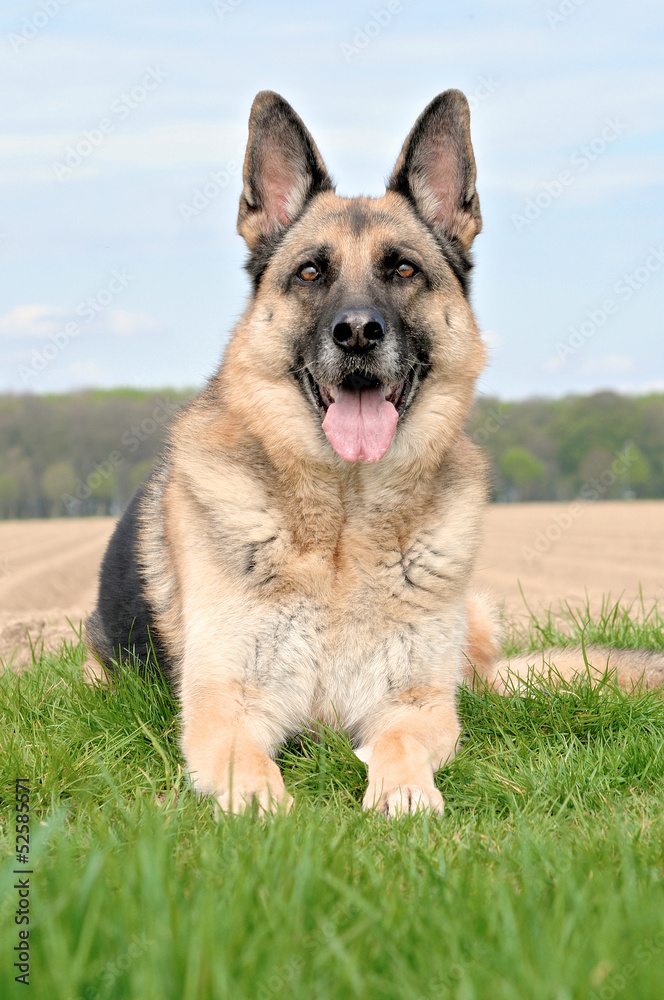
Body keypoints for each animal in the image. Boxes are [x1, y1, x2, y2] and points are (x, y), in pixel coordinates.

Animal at [83, 90, 660, 816]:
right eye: (310, 272)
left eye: (404, 269)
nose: (358, 332)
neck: (344, 528)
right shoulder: (224, 709)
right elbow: (250, 768)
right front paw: (265, 811)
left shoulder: (417, 705)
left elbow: (401, 744)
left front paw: (405, 793)